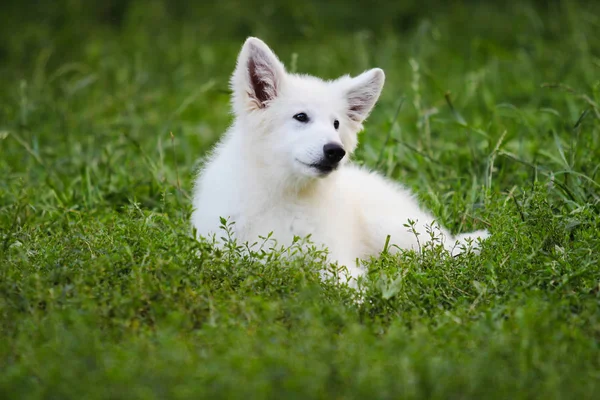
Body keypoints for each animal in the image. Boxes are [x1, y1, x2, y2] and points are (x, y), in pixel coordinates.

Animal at [191, 36, 488, 282]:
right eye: (301, 117)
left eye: (336, 124)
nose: (336, 151)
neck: (284, 193)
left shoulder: (332, 257)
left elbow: (344, 281)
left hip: (393, 232)